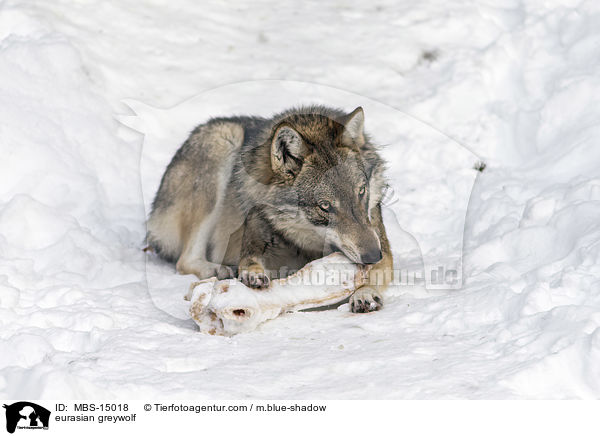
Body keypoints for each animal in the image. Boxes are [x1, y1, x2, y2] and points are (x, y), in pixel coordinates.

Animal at [148, 104, 394, 312]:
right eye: (325, 206)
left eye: (361, 192)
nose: (374, 255)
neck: (306, 243)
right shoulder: (253, 243)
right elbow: (250, 262)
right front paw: (252, 275)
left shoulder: (382, 246)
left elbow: (378, 272)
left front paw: (364, 293)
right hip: (223, 139)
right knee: (184, 260)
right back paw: (218, 270)